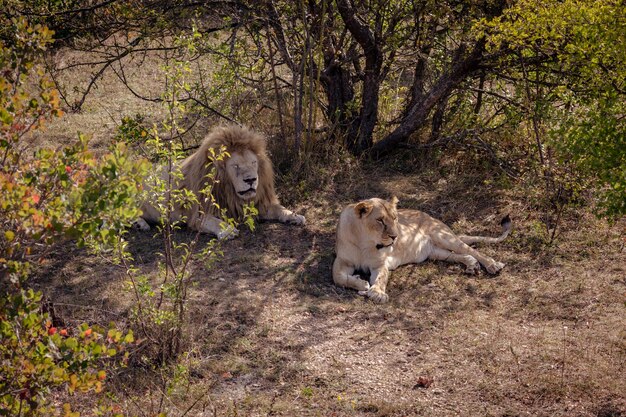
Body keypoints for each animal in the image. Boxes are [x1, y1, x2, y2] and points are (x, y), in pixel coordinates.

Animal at [135, 124, 304, 237]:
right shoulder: (197, 215)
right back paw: (139, 224)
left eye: (253, 163)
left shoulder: (256, 205)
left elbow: (279, 209)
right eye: (235, 166)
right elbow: (215, 221)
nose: (251, 179)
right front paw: (228, 230)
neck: (229, 191)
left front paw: (294, 216)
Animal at [332, 197, 508, 300]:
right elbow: (338, 277)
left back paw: (492, 265)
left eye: (395, 218)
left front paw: (377, 293)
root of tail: (431, 216)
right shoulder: (342, 261)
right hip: (435, 252)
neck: (365, 241)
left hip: (443, 236)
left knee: (471, 250)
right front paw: (361, 283)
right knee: (460, 255)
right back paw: (471, 265)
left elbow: (381, 277)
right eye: (380, 220)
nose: (395, 237)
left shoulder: (380, 264)